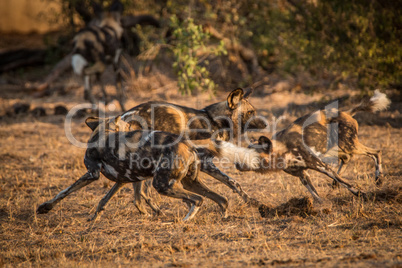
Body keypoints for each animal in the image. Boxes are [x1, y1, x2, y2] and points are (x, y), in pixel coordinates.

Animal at [91, 88, 266, 214]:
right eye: (250, 113)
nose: (265, 124)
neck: (216, 121)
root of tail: (124, 115)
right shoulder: (204, 161)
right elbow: (231, 182)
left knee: (129, 189)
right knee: (144, 192)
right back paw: (157, 212)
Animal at [231, 90, 392, 201]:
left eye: (249, 155)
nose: (236, 164)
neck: (283, 151)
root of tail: (347, 112)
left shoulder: (322, 167)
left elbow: (347, 184)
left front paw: (361, 194)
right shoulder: (303, 174)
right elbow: (315, 194)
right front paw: (321, 207)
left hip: (348, 145)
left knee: (376, 152)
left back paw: (378, 179)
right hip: (334, 149)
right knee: (346, 158)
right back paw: (335, 184)